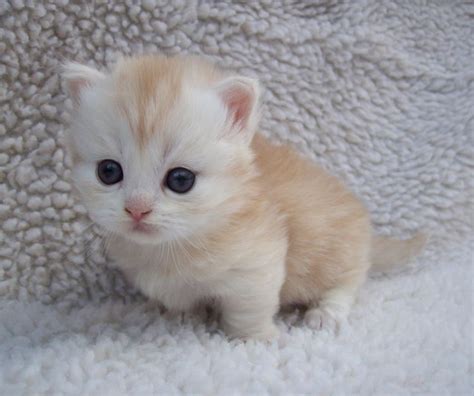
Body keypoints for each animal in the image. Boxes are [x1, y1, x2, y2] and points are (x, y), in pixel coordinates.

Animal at [64, 55, 426, 340]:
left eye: (180, 180)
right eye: (109, 172)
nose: (136, 209)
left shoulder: (258, 264)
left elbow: (248, 309)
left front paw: (256, 339)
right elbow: (181, 301)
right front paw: (178, 316)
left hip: (338, 251)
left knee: (349, 281)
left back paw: (326, 312)